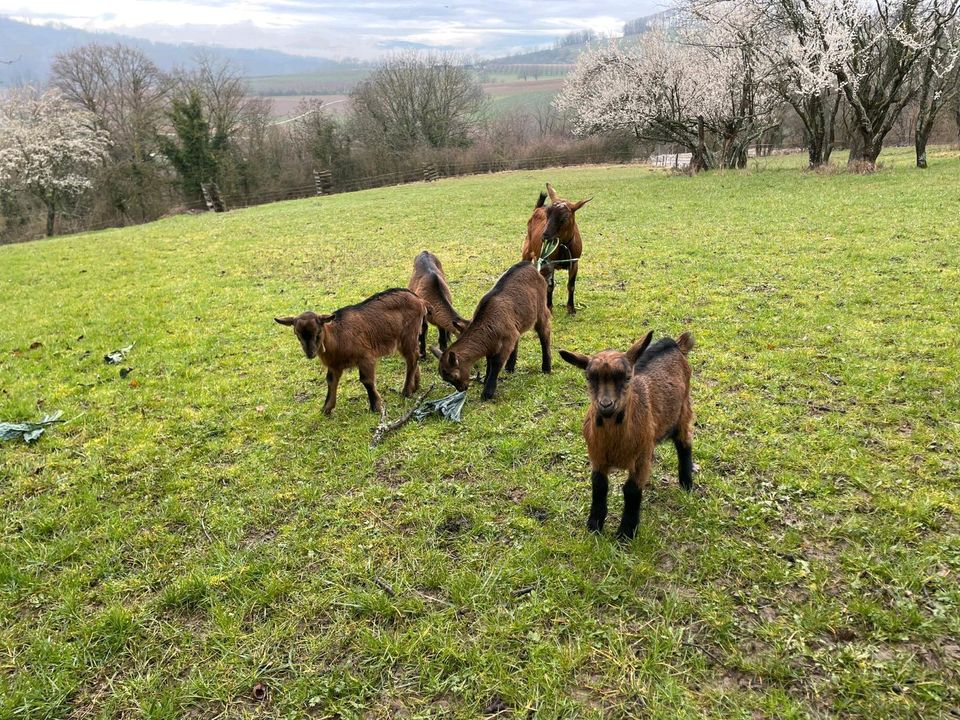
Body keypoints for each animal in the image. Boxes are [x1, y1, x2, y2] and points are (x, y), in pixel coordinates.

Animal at [278, 288, 428, 414]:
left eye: (318, 332)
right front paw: (326, 409)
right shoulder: (335, 366)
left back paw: (406, 391)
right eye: (297, 334)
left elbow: (366, 380)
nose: (310, 353)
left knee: (412, 357)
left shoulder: (366, 357)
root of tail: (419, 300)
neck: (338, 336)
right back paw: (415, 386)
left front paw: (376, 407)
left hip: (409, 334)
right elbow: (330, 381)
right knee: (412, 358)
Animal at [434, 262, 552, 402]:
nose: (461, 388)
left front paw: (487, 392)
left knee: (544, 333)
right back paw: (510, 367)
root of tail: (531, 266)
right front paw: (485, 380)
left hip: (541, 309)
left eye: (453, 376)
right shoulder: (493, 342)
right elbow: (489, 360)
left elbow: (496, 363)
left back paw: (546, 367)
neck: (488, 322)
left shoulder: (507, 338)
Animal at [520, 181, 588, 314]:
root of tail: (538, 208)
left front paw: (571, 309)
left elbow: (571, 286)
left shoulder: (574, 263)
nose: (545, 236)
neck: (563, 245)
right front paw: (549, 307)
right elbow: (550, 286)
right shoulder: (549, 262)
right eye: (547, 214)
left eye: (564, 218)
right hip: (527, 251)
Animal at [560, 332, 692, 540]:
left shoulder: (641, 458)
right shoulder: (596, 456)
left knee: (684, 443)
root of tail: (675, 344)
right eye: (589, 377)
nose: (606, 405)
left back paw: (687, 483)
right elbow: (599, 485)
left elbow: (631, 490)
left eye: (628, 377)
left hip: (683, 410)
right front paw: (594, 525)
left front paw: (625, 533)